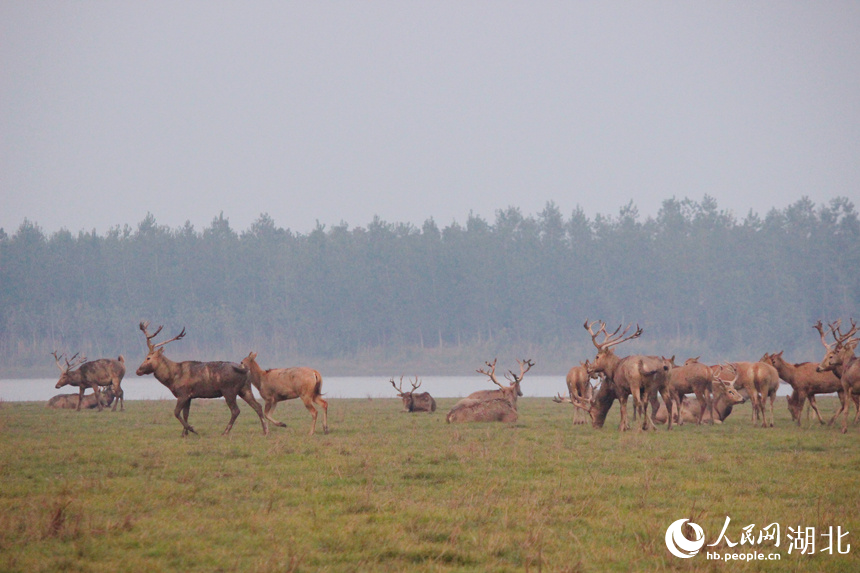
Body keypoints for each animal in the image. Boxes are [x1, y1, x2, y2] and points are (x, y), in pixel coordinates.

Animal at [134, 320, 268, 436]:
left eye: (148, 358)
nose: (138, 370)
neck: (172, 378)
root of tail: (246, 370)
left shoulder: (183, 393)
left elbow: (176, 413)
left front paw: (192, 429)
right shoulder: (189, 396)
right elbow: (186, 414)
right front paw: (184, 434)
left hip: (229, 390)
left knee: (236, 410)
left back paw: (225, 432)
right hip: (245, 389)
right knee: (258, 406)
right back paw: (265, 431)